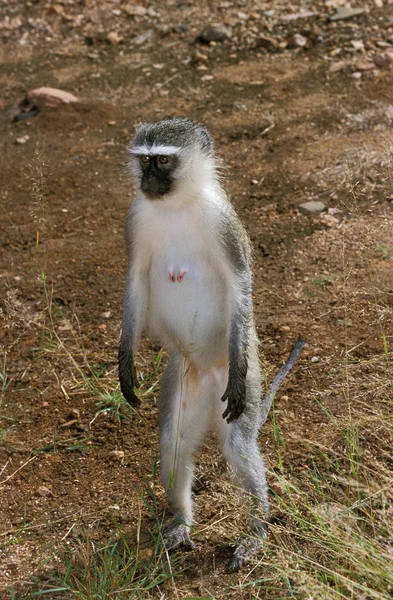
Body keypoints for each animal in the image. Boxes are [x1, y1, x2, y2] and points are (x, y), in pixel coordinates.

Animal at [117, 118, 304, 572]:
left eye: (164, 161)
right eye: (144, 160)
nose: (148, 180)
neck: (176, 204)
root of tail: (205, 369)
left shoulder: (223, 223)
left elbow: (239, 283)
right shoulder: (135, 218)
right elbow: (135, 282)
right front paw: (125, 364)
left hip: (245, 377)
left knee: (238, 444)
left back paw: (255, 531)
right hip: (182, 376)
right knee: (174, 442)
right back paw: (182, 521)